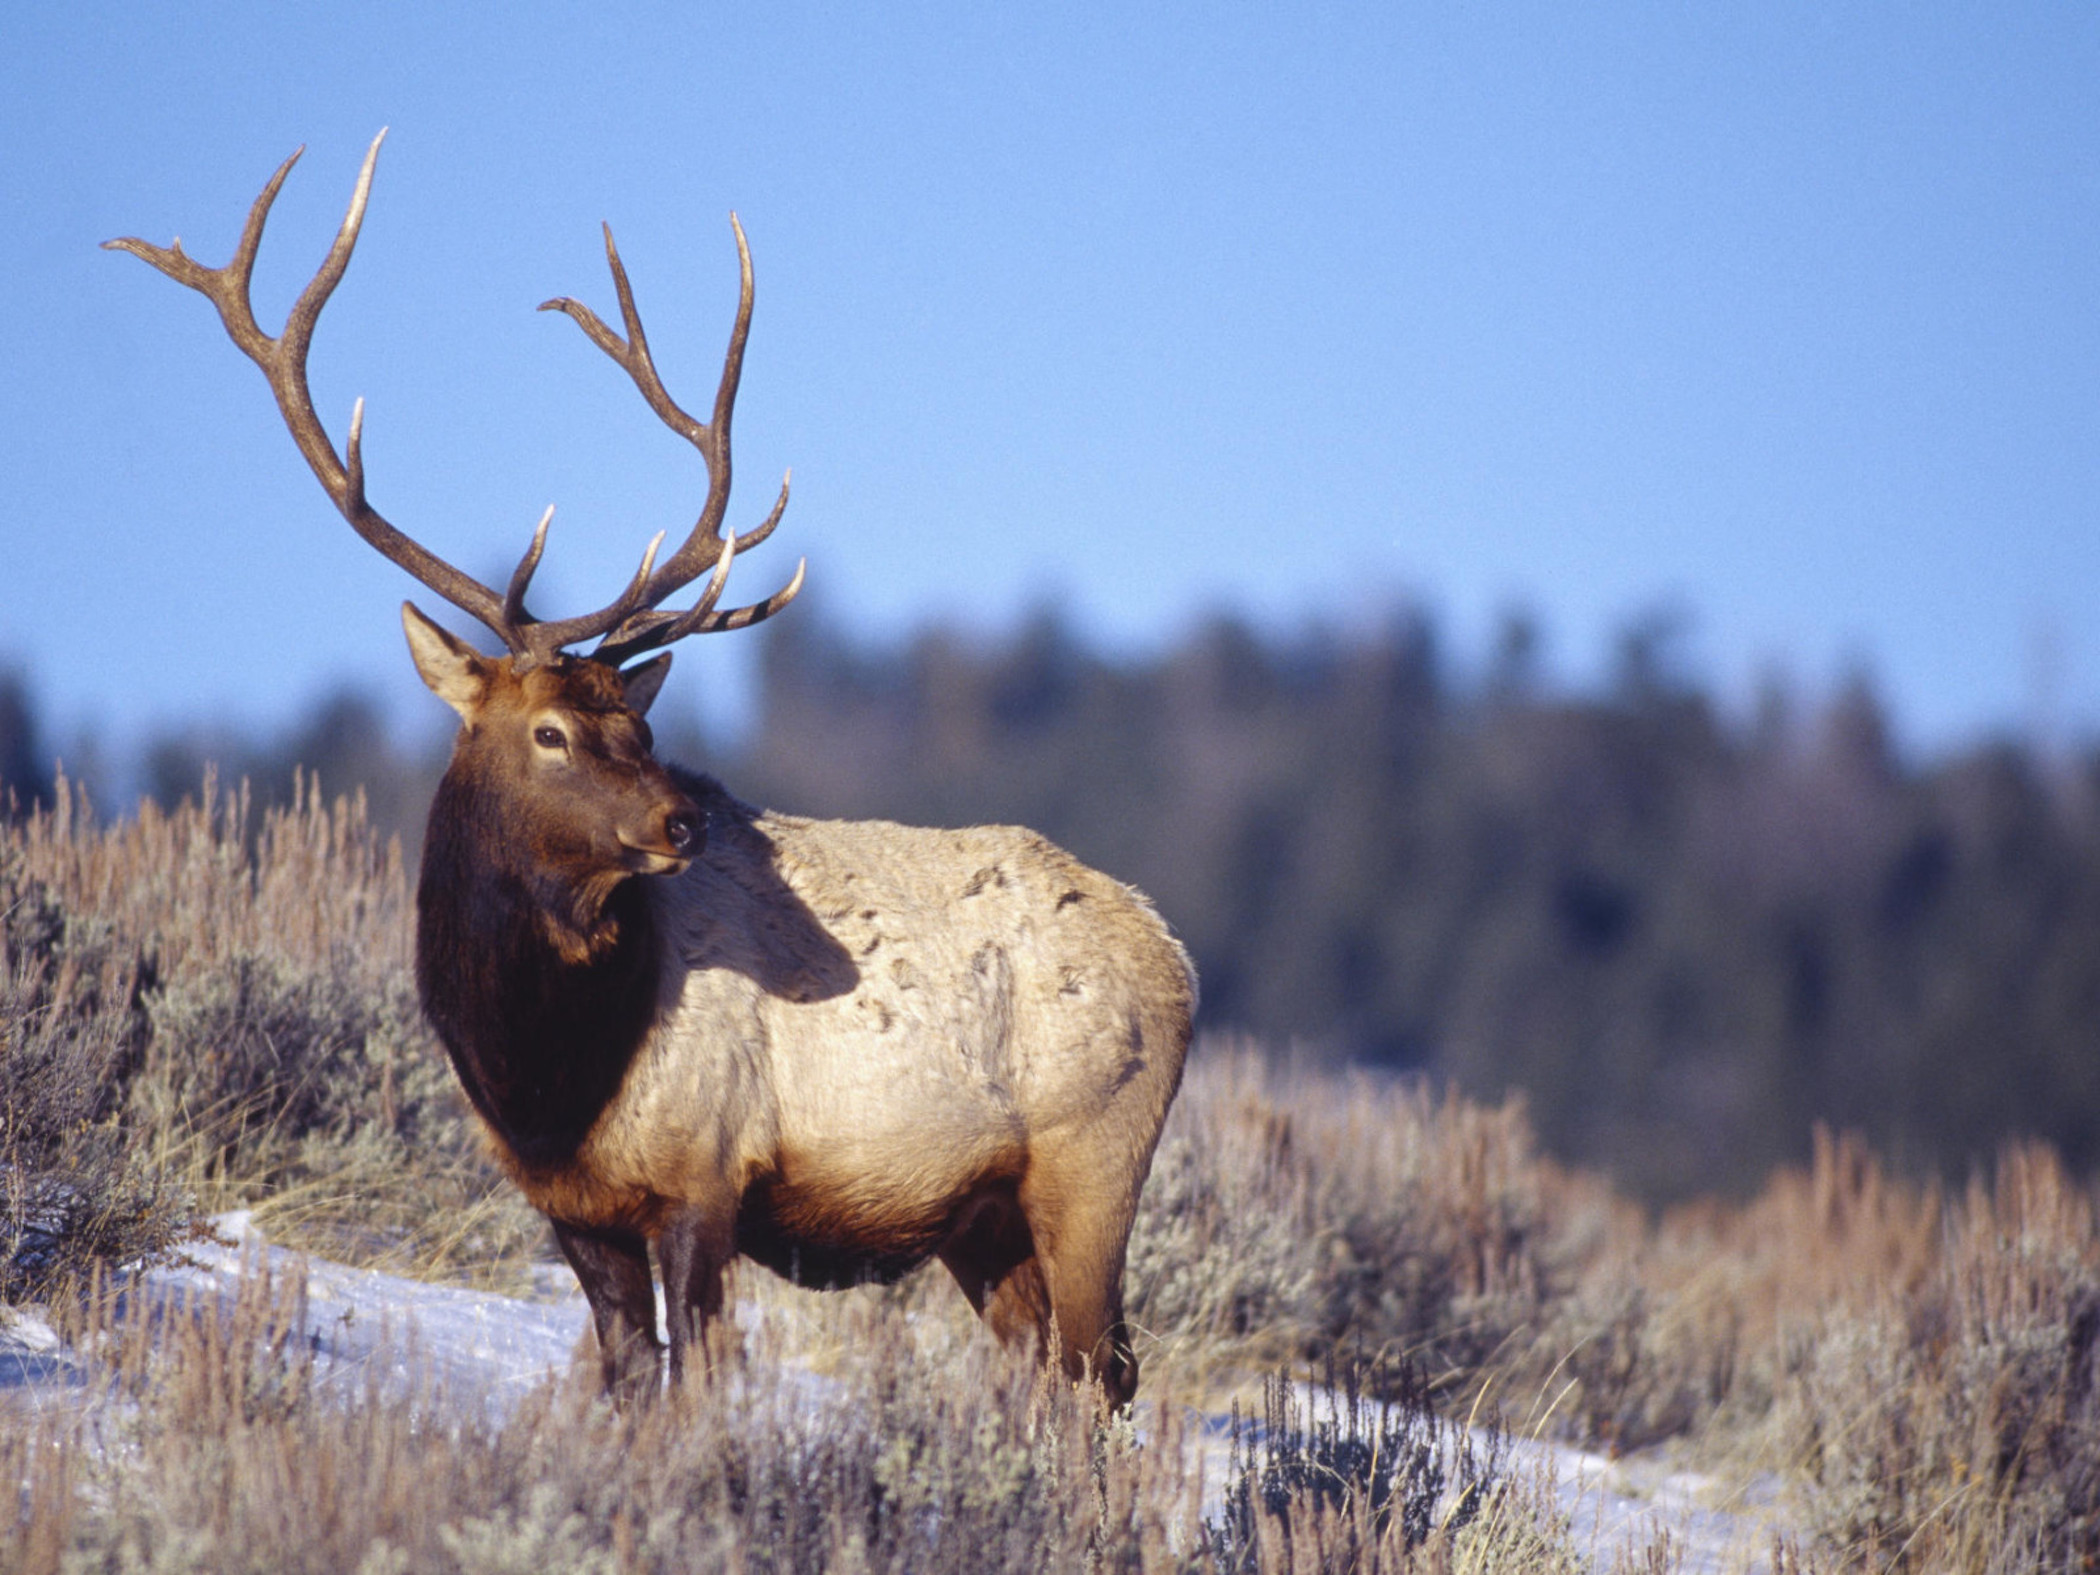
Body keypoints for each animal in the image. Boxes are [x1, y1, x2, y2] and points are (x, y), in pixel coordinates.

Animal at [110, 135, 1201, 1411]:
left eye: (634, 716)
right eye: (551, 731)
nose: (685, 821)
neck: (543, 1074)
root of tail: (1178, 958)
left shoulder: (705, 1174)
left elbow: (698, 1387)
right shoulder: (570, 1207)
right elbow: (630, 1382)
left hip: (1092, 1159)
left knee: (1099, 1375)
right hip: (984, 1220)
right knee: (1056, 1376)